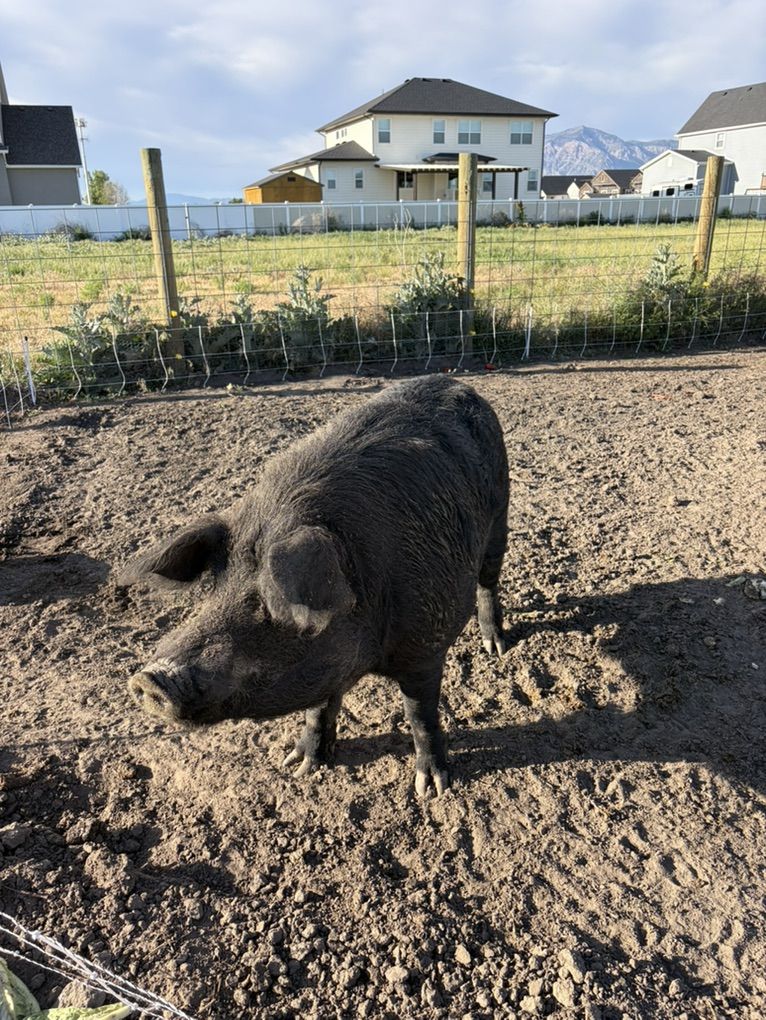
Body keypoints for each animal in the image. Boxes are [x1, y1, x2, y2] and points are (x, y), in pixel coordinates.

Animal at [119, 375, 508, 796]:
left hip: (500, 515)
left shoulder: (424, 647)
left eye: (265, 603)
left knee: (488, 583)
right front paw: (298, 765)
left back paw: (496, 647)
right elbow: (318, 708)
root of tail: (460, 384)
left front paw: (431, 788)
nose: (151, 678)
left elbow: (420, 715)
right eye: (215, 586)